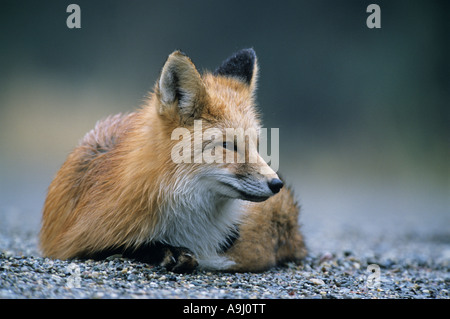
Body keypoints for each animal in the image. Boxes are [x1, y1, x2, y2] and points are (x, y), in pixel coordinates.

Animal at [40, 48, 306, 274]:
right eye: (228, 145)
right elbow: (119, 246)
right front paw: (165, 251)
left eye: (256, 146)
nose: (276, 184)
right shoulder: (72, 240)